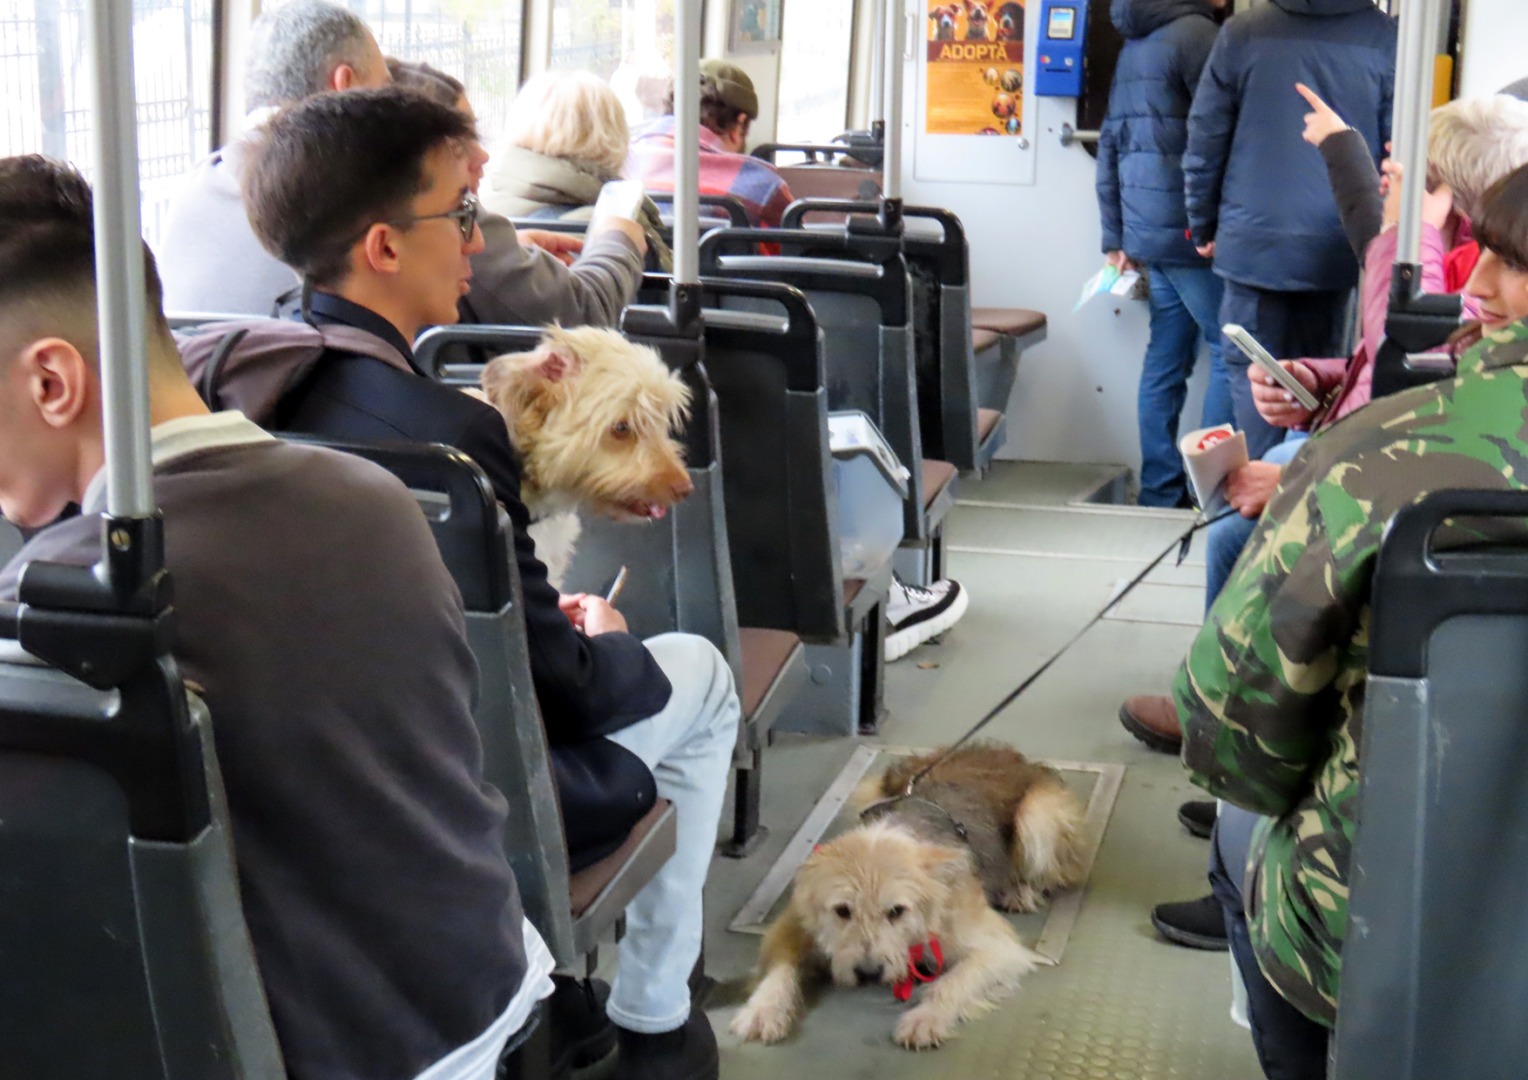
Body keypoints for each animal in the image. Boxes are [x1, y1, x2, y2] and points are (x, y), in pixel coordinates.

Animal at [730, 748, 1081, 1050]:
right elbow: (781, 967)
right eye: (842, 910)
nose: (868, 973)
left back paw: (1019, 889)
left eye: (897, 911)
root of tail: (1005, 753)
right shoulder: (793, 926)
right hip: (872, 790)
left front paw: (925, 1018)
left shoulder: (997, 946)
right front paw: (764, 1008)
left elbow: (951, 982)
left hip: (1038, 816)